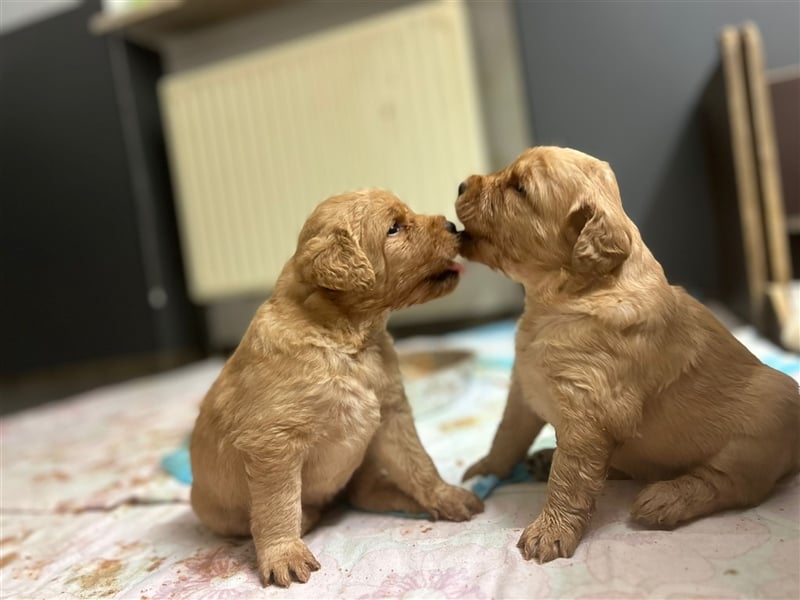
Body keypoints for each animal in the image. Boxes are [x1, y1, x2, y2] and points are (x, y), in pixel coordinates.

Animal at [191, 191, 484, 584]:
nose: (453, 225)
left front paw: (445, 495)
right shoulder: (273, 443)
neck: (348, 340)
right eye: (394, 228)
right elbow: (277, 505)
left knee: (364, 491)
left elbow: (418, 461)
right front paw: (284, 553)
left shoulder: (391, 414)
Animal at [456, 145, 800, 564]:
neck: (561, 297)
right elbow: (506, 436)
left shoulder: (590, 411)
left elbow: (569, 477)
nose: (460, 184)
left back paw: (666, 498)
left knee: (729, 484)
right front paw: (485, 469)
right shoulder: (525, 387)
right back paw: (545, 458)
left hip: (765, 421)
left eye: (519, 188)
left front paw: (549, 530)